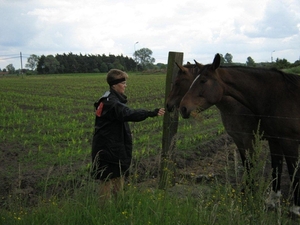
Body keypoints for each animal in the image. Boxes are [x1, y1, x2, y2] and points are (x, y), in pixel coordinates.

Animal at [179, 53, 300, 215]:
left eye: (203, 81)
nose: (183, 108)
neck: (278, 97)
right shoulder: (274, 140)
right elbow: (275, 168)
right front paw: (271, 200)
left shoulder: (288, 141)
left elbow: (293, 172)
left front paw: (296, 208)